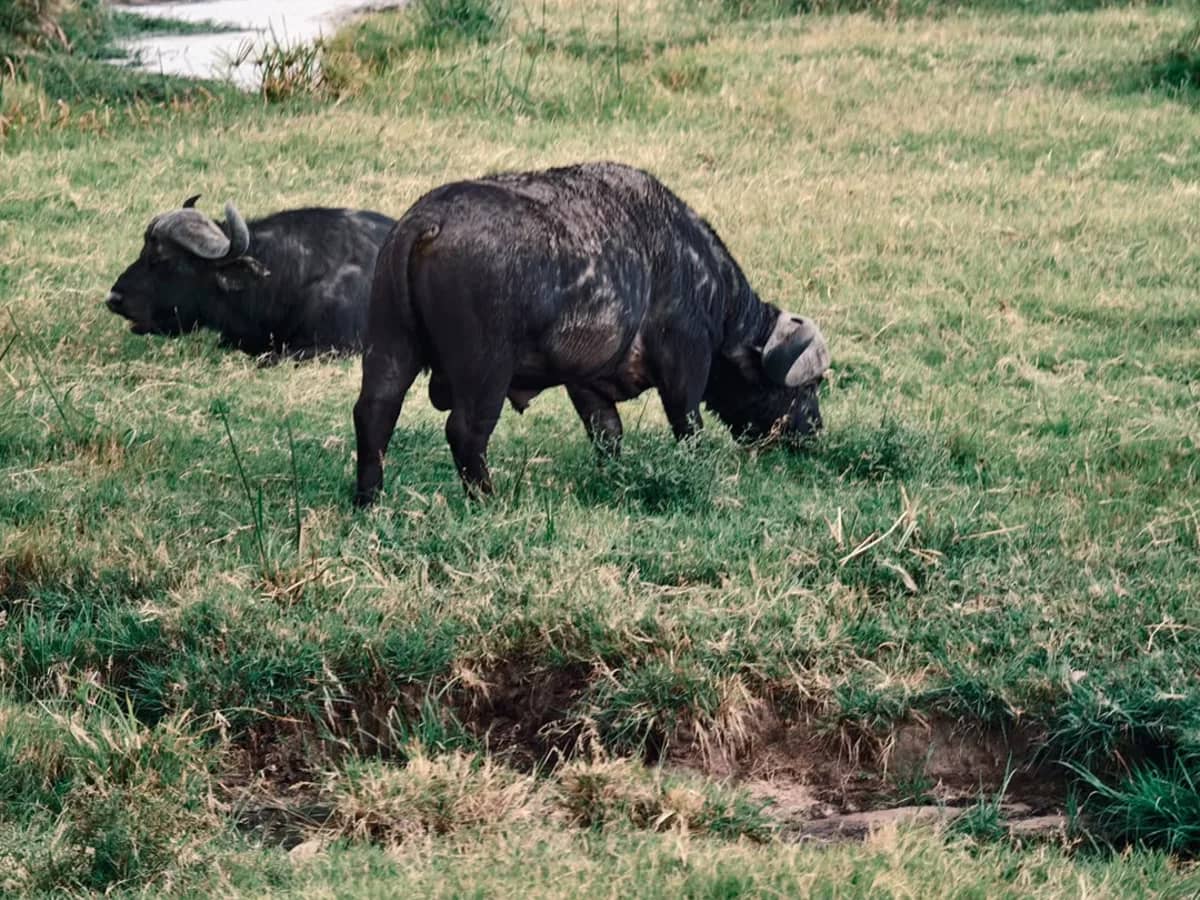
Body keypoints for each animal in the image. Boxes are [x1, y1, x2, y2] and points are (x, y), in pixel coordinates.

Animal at [354, 161, 830, 504]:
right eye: (808, 387)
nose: (814, 432)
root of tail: (429, 220)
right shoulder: (686, 359)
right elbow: (687, 424)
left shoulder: (587, 382)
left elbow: (607, 433)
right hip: (485, 368)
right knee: (465, 430)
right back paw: (487, 499)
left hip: (391, 345)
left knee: (374, 412)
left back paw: (369, 499)